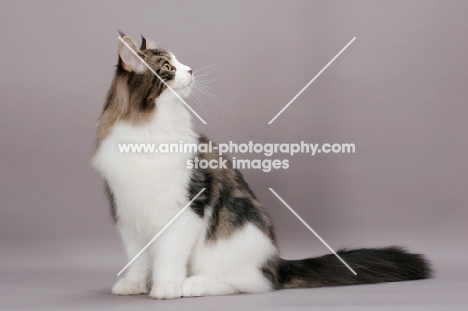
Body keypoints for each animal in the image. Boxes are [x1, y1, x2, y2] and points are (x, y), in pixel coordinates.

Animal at [91, 33, 432, 302]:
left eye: (180, 62)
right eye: (169, 68)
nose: (191, 69)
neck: (148, 130)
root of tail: (277, 263)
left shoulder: (184, 209)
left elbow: (169, 257)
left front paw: (166, 286)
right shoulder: (127, 212)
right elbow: (137, 258)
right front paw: (133, 284)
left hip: (236, 228)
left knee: (248, 283)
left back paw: (192, 284)